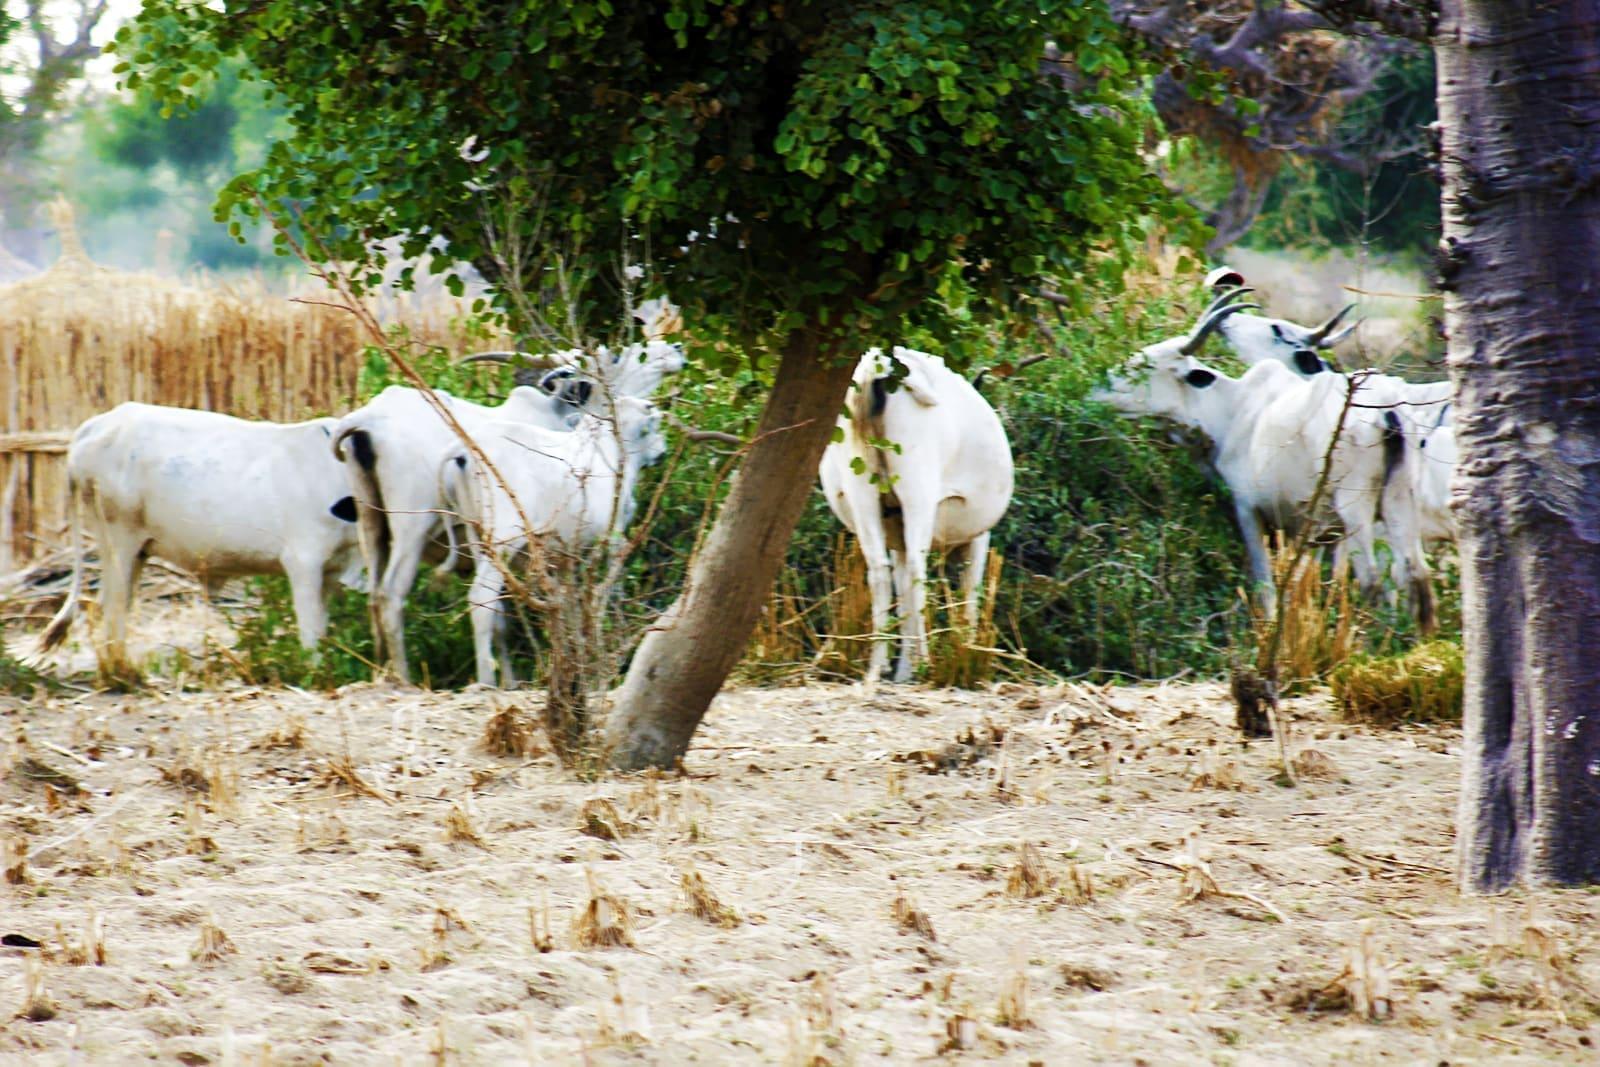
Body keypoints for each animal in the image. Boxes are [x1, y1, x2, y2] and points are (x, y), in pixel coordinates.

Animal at [38, 403, 363, 678]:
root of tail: (96, 425)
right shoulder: (303, 563)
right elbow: (311, 633)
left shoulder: (332, 569)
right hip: (119, 540)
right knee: (112, 609)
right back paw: (121, 676)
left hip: (135, 551)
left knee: (108, 607)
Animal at [440, 397, 667, 687]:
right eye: (654, 423)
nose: (662, 450)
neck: (608, 446)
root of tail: (464, 451)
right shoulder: (612, 535)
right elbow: (607, 590)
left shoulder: (563, 554)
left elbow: (568, 600)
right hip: (503, 537)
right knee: (482, 596)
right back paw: (487, 679)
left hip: (475, 533)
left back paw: (508, 680)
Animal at [819, 347, 1014, 684]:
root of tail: (878, 368)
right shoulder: (979, 538)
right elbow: (970, 594)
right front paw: (966, 655)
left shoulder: (895, 533)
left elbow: (903, 593)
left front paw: (903, 670)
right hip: (917, 486)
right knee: (916, 569)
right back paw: (925, 662)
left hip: (861, 486)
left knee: (879, 570)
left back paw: (878, 667)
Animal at [1094, 293, 1436, 632]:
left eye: (1146, 364)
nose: (1099, 388)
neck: (1233, 408)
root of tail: (1389, 411)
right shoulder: (1315, 532)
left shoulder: (1251, 511)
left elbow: (1267, 586)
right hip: (1400, 502)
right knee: (1416, 575)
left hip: (1356, 509)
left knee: (1373, 582)